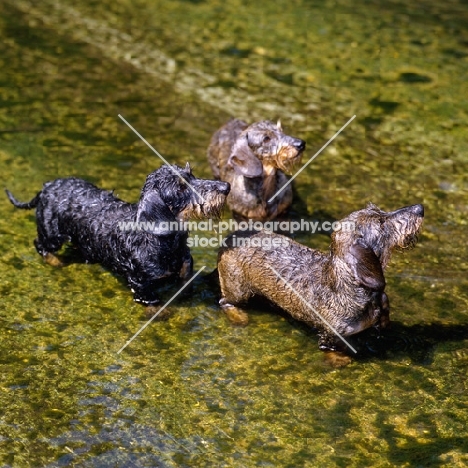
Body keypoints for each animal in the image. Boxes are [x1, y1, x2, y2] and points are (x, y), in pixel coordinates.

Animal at [5, 165, 229, 318]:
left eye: (192, 174)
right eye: (182, 187)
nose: (226, 186)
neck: (163, 242)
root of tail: (46, 188)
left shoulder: (184, 267)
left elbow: (185, 280)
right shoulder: (139, 281)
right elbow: (151, 300)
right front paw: (159, 312)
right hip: (52, 235)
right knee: (39, 245)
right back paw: (55, 261)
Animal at [216, 203, 424, 368]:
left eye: (381, 211)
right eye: (381, 223)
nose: (419, 208)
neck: (350, 288)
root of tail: (230, 238)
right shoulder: (331, 334)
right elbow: (328, 347)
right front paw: (339, 359)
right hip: (237, 290)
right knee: (224, 302)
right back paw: (238, 316)